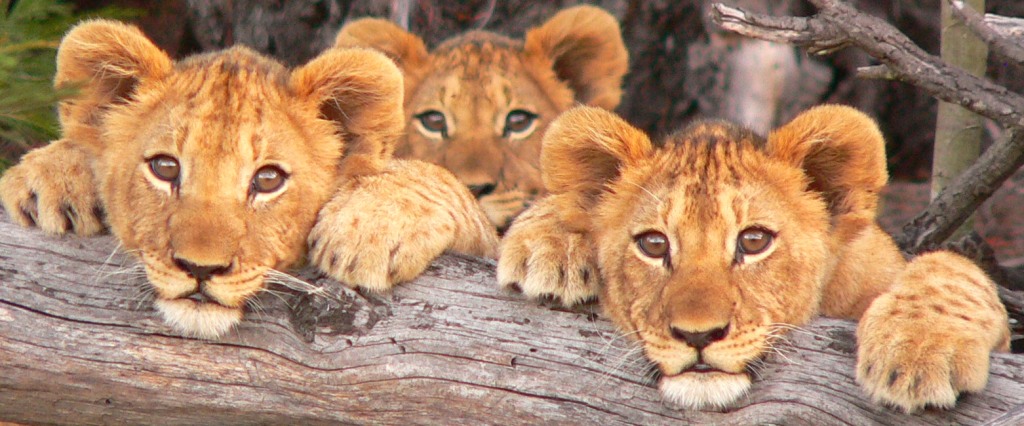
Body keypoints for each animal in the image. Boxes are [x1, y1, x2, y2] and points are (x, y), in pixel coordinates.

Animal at [497, 105, 1010, 412]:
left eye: (754, 241)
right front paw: (548, 239)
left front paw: (920, 350)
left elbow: (949, 268)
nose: (697, 335)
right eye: (654, 245)